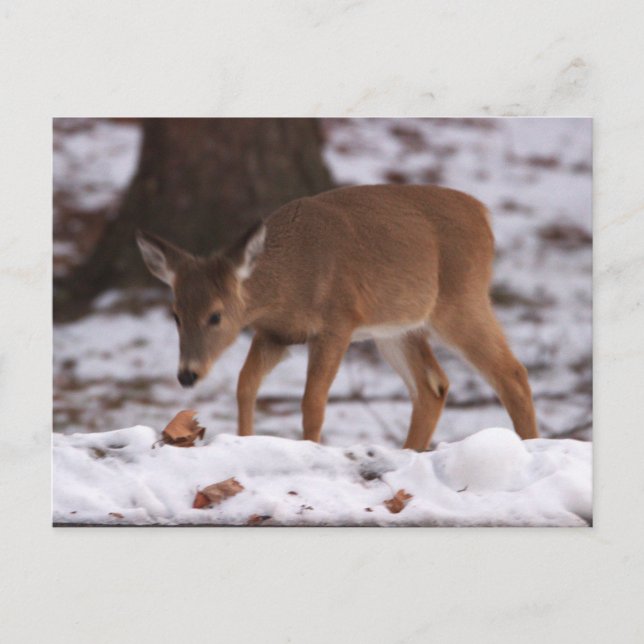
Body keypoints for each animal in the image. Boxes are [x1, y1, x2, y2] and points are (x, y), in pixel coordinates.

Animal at [136, 184, 538, 451]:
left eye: (216, 316)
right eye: (175, 315)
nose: (187, 374)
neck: (289, 281)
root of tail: (484, 215)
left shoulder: (337, 321)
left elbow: (312, 401)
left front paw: (311, 449)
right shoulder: (275, 334)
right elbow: (245, 385)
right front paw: (245, 439)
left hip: (461, 302)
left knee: (512, 373)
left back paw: (532, 445)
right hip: (396, 328)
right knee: (433, 386)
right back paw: (409, 452)